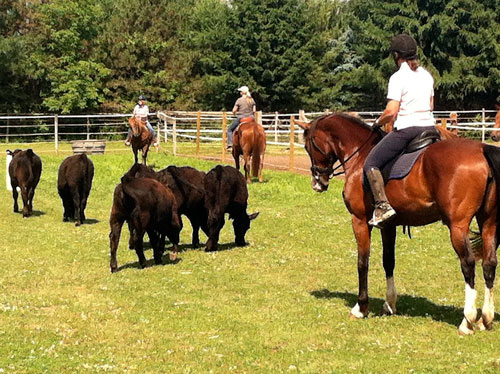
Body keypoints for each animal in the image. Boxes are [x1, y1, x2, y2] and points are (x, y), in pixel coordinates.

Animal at [296, 113, 500, 334]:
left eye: (308, 146)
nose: (318, 183)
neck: (359, 154)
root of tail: (482, 150)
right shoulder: (389, 226)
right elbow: (388, 261)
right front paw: (389, 304)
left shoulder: (359, 221)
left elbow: (362, 262)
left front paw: (361, 307)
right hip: (488, 224)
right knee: (489, 263)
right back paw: (485, 318)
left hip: (458, 226)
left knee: (468, 263)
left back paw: (467, 320)